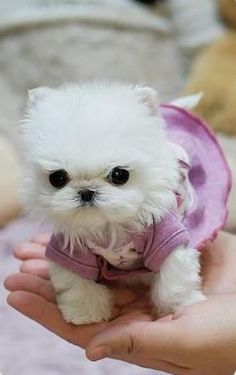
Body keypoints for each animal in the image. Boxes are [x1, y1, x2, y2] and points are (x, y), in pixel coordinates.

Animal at [20, 83, 206, 326]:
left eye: (120, 175)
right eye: (57, 178)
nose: (86, 192)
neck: (109, 227)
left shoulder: (167, 236)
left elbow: (173, 279)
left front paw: (180, 305)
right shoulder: (70, 250)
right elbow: (77, 283)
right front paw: (86, 313)